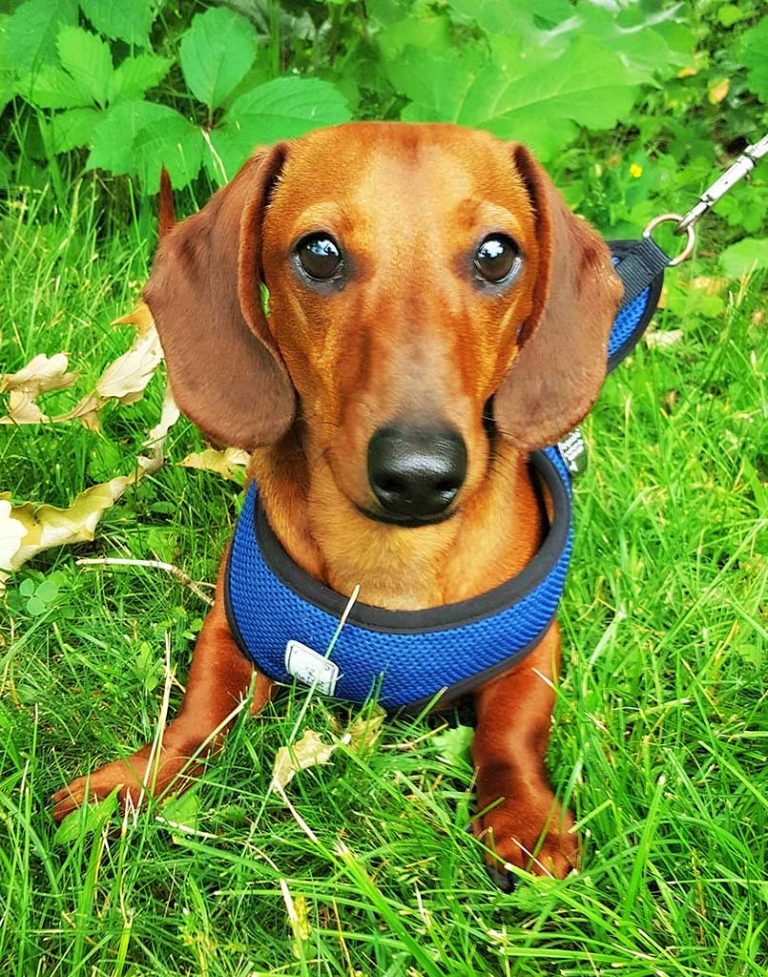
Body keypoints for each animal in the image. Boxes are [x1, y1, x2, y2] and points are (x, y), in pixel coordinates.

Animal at [52, 124, 616, 884]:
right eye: (318, 253)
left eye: (497, 254)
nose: (418, 474)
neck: (388, 562)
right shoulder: (232, 628)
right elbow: (202, 712)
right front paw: (131, 785)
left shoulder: (534, 649)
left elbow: (514, 729)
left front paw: (525, 816)